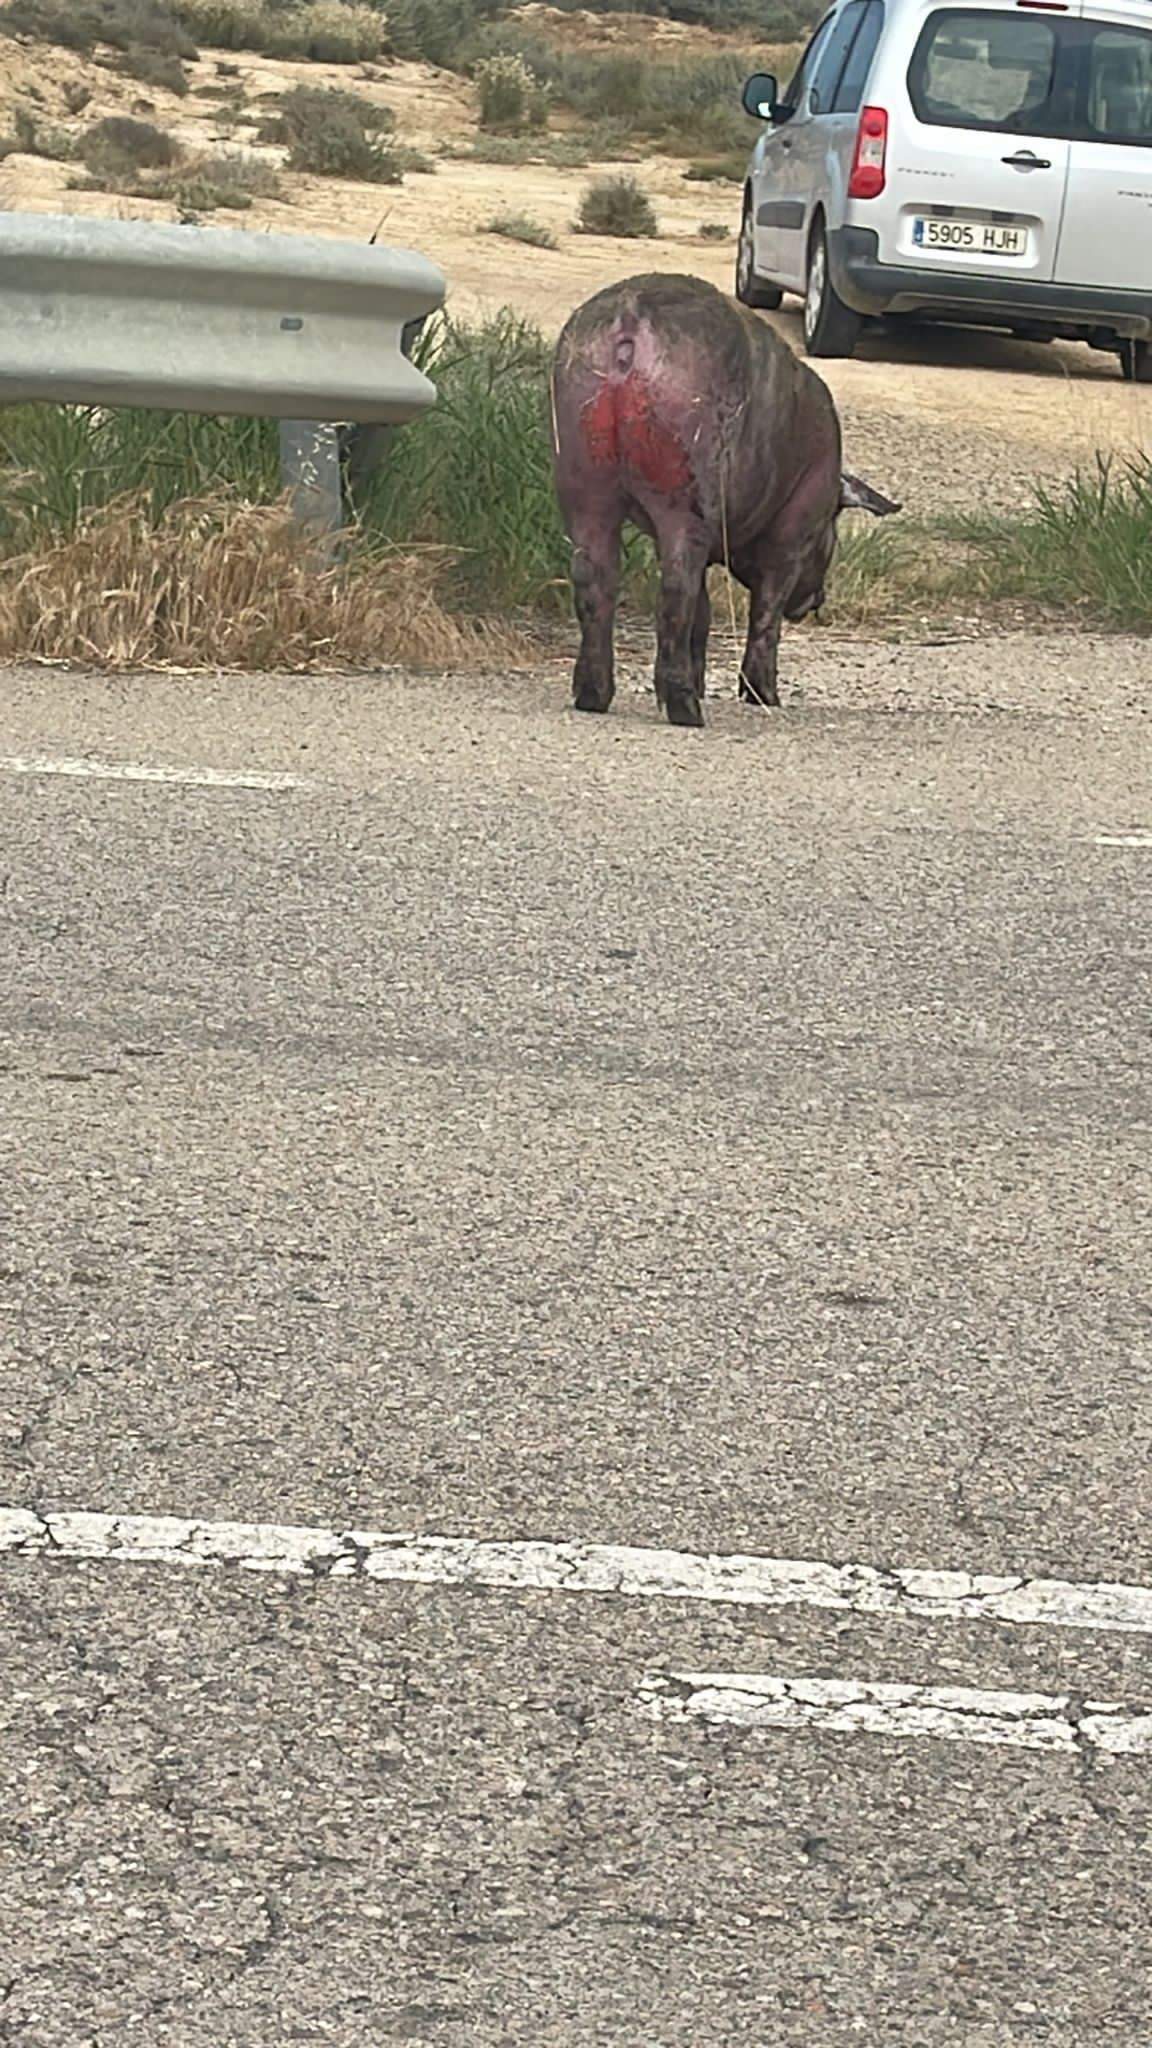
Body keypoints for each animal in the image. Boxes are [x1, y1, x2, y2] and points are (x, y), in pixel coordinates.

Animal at [552, 273, 899, 727]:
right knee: (675, 590)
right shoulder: (792, 535)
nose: (817, 601)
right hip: (685, 493)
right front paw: (766, 697)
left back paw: (593, 697)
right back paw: (687, 710)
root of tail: (629, 323)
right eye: (833, 530)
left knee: (594, 578)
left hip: (582, 480)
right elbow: (764, 612)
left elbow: (705, 612)